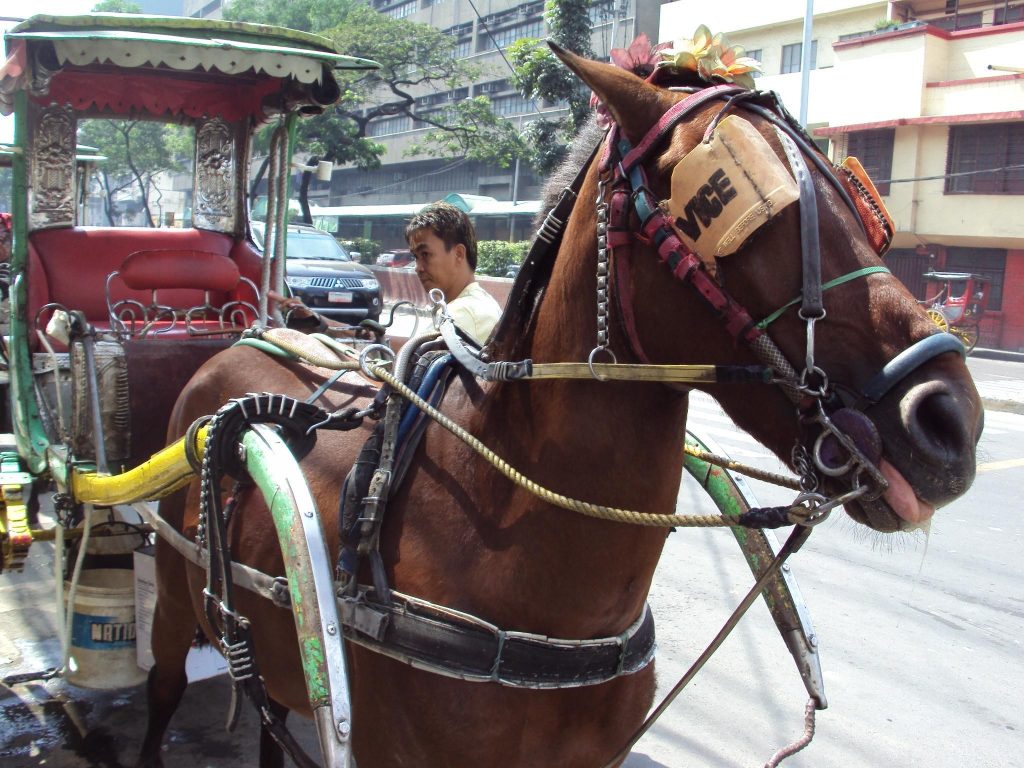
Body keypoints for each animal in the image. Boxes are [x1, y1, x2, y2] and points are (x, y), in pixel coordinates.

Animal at [136, 48, 983, 768]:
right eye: (727, 202)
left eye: (856, 196)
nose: (950, 421)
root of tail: (240, 339)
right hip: (176, 597)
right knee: (163, 689)